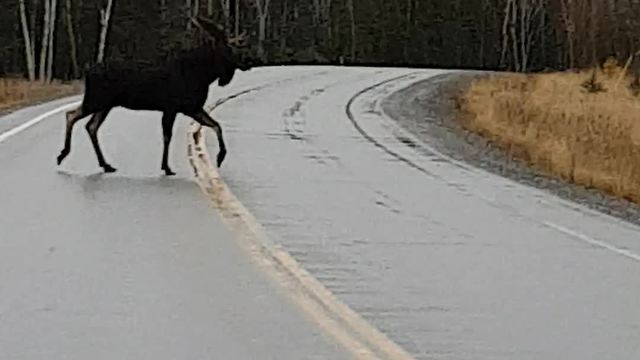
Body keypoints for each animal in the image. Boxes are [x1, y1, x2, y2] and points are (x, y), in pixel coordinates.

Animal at [56, 16, 254, 176]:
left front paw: (220, 156)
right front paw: (166, 167)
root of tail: (87, 72)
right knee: (71, 115)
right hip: (96, 100)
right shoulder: (172, 107)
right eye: (227, 50)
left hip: (105, 105)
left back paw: (105, 165)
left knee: (91, 126)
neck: (203, 75)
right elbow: (167, 135)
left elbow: (216, 125)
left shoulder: (192, 108)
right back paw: (63, 154)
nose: (246, 63)